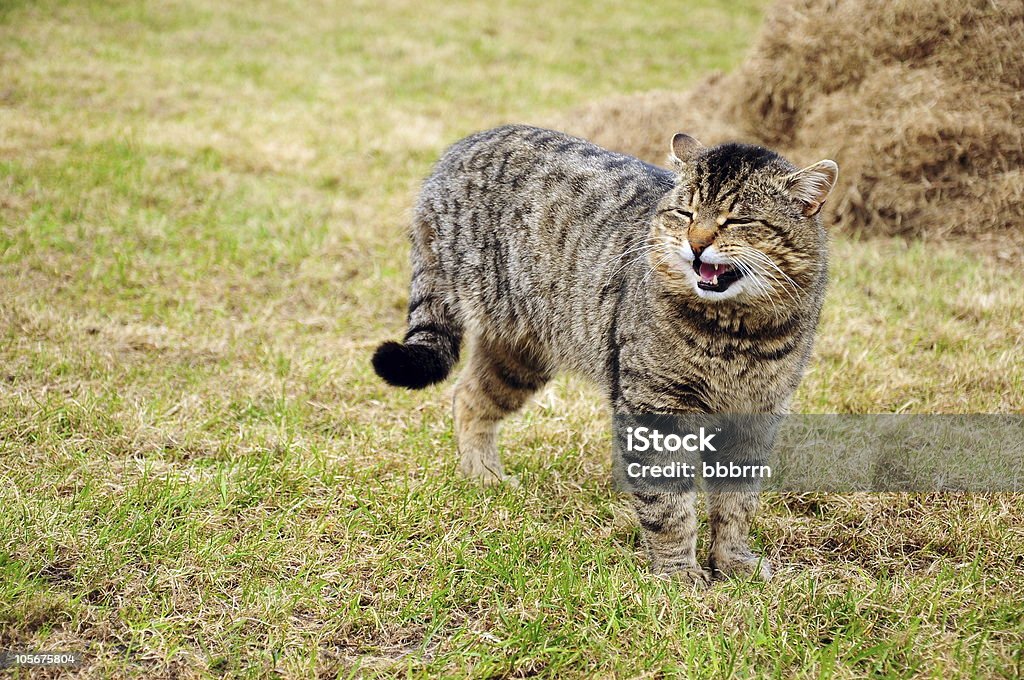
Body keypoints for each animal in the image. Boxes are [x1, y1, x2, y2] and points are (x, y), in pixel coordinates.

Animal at [372, 124, 835, 585]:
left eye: (738, 220)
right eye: (685, 214)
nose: (696, 244)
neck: (736, 335)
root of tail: (462, 146)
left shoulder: (757, 414)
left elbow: (737, 503)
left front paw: (733, 561)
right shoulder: (654, 407)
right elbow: (669, 504)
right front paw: (679, 573)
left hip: (519, 356)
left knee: (469, 397)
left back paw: (484, 476)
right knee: (466, 396)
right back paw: (486, 478)